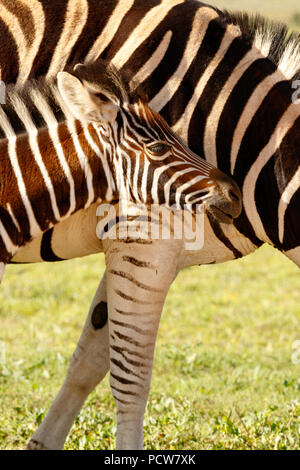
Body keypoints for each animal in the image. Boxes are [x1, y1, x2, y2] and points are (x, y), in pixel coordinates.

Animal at [0, 0, 298, 450]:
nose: (231, 192)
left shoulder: (137, 250)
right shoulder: (143, 242)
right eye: (157, 146)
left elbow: (89, 361)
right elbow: (130, 377)